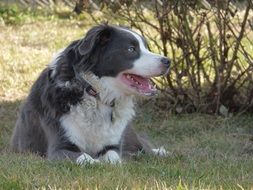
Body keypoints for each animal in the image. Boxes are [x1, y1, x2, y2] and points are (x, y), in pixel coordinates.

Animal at [10, 23, 171, 164]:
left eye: (146, 47)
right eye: (131, 49)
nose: (168, 61)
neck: (93, 93)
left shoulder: (112, 145)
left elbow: (113, 158)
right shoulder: (59, 147)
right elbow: (85, 158)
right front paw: (95, 162)